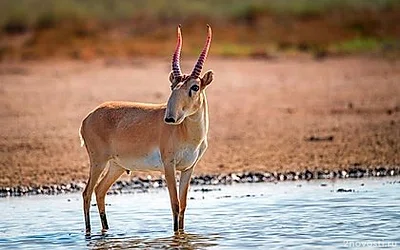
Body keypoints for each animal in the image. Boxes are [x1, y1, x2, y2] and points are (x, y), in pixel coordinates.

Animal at [79, 24, 214, 234]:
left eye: (195, 86)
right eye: (173, 85)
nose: (170, 118)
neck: (187, 134)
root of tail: (88, 117)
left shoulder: (188, 168)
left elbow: (183, 206)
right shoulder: (169, 166)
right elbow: (175, 204)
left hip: (116, 166)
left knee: (100, 191)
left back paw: (106, 230)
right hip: (98, 162)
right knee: (87, 193)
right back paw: (89, 233)